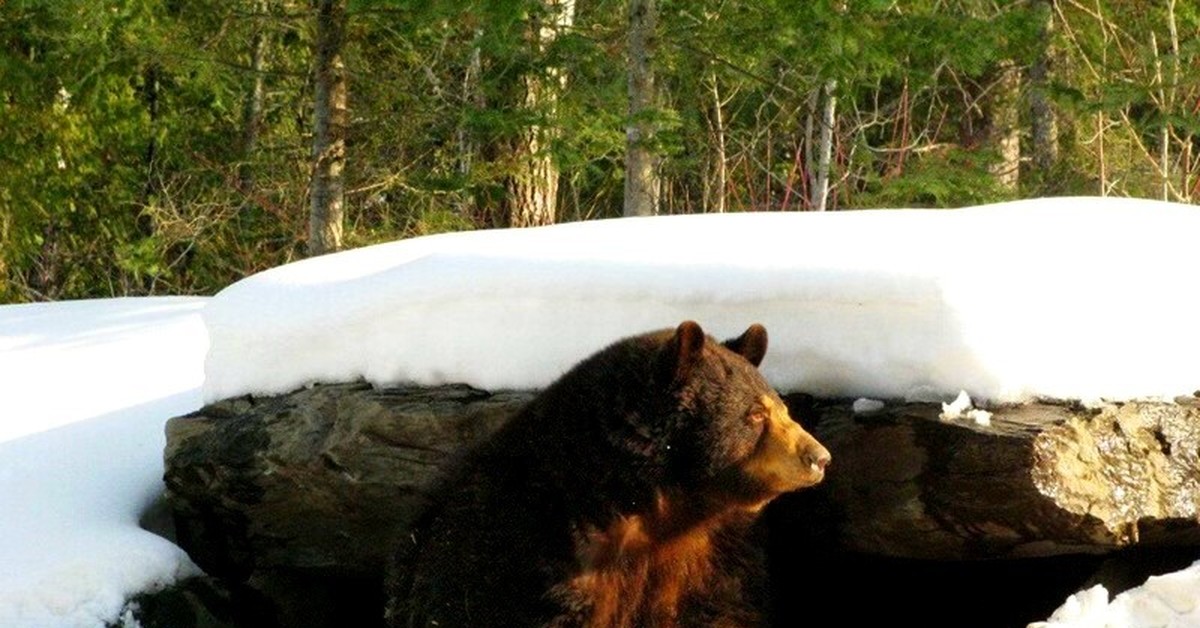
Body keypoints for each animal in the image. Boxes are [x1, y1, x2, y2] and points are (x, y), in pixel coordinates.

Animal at [386, 321, 835, 624]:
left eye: (783, 408)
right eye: (755, 414)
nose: (819, 457)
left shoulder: (713, 555)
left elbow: (724, 608)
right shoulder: (526, 555)